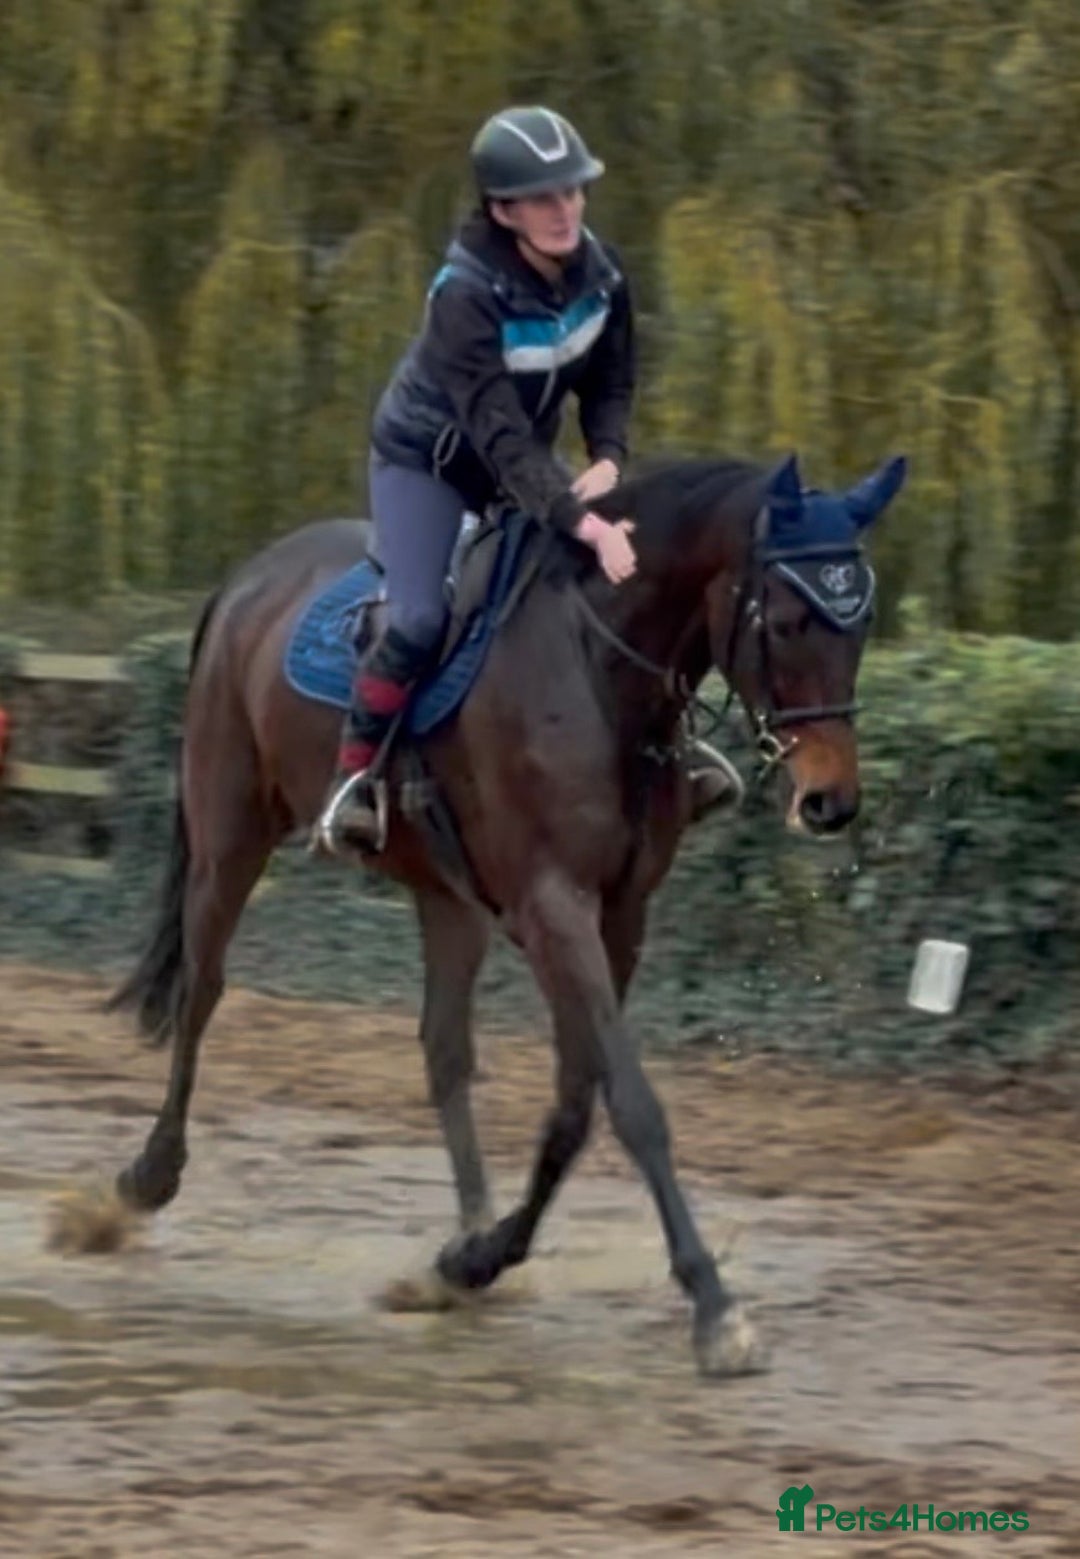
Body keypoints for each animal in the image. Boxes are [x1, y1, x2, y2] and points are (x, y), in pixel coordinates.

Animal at [99, 446, 905, 1378]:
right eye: (785, 620)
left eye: (861, 621)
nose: (830, 802)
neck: (599, 671)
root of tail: (246, 579)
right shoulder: (554, 906)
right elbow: (634, 1104)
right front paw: (714, 1306)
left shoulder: (619, 913)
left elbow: (576, 1103)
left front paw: (476, 1258)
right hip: (231, 836)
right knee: (202, 990)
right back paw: (146, 1177)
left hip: (445, 895)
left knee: (444, 1049)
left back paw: (469, 1225)